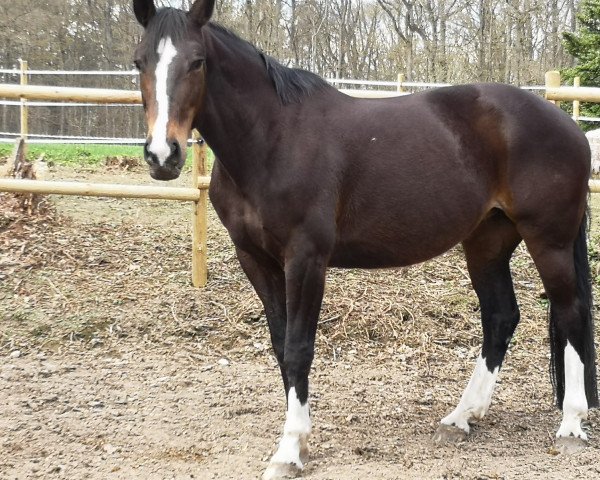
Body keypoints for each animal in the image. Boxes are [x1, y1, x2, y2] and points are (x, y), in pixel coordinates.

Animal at [134, 1, 596, 478]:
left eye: (197, 62)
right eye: (139, 62)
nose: (163, 155)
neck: (274, 138)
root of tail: (569, 126)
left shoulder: (306, 258)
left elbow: (298, 347)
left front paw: (289, 449)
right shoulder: (255, 259)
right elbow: (281, 346)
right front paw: (296, 441)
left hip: (549, 240)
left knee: (572, 312)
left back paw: (570, 425)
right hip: (487, 243)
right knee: (501, 317)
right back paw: (461, 417)